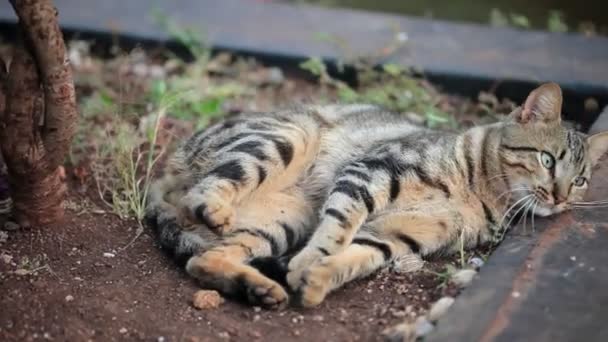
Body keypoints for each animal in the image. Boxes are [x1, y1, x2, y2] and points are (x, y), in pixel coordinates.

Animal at [146, 83, 608, 310]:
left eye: (581, 180)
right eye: (547, 160)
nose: (561, 197)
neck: (480, 191)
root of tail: (164, 176)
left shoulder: (399, 235)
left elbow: (355, 256)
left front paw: (316, 281)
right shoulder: (373, 171)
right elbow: (338, 227)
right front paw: (311, 263)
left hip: (279, 221)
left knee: (205, 261)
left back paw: (259, 289)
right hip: (281, 139)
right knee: (205, 193)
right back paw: (215, 208)